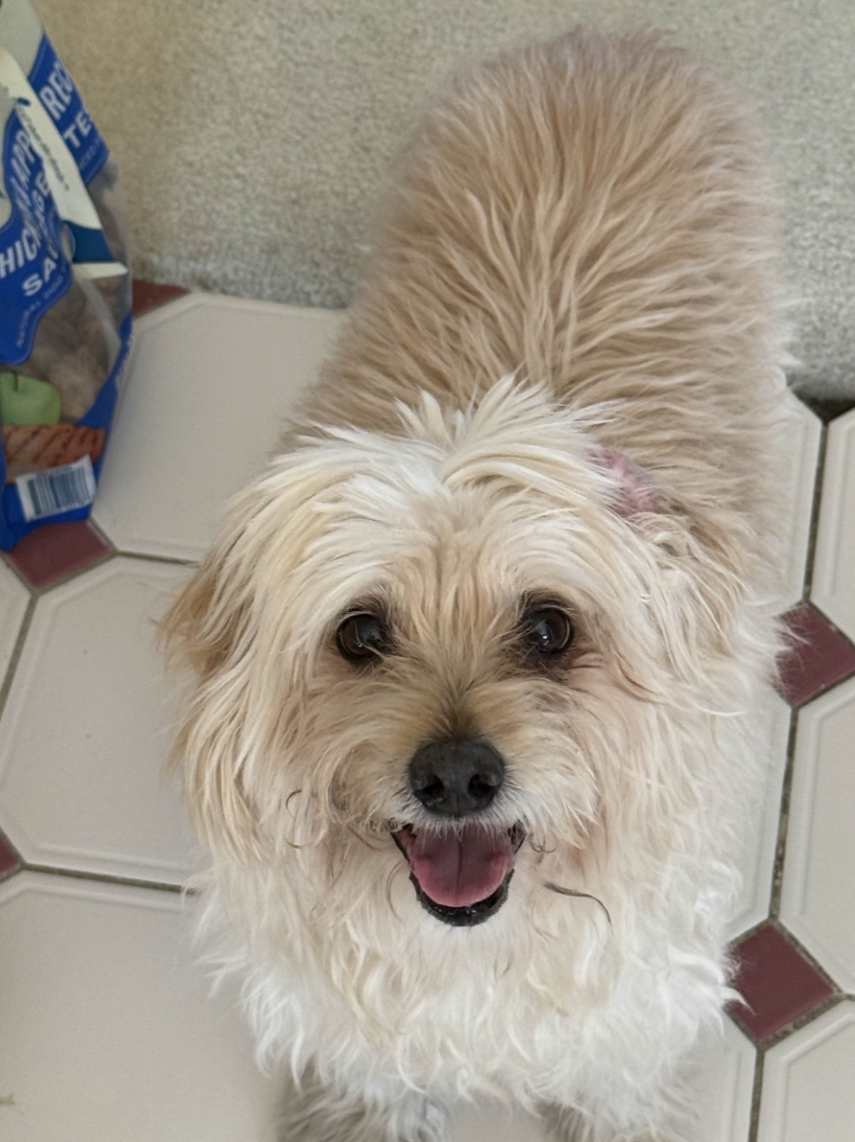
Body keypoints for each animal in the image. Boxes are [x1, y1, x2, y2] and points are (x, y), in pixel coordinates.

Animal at [164, 27, 792, 1142]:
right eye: (360, 632)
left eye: (549, 628)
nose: (456, 777)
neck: (473, 944)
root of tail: (607, 43)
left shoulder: (633, 1004)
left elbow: (621, 1084)